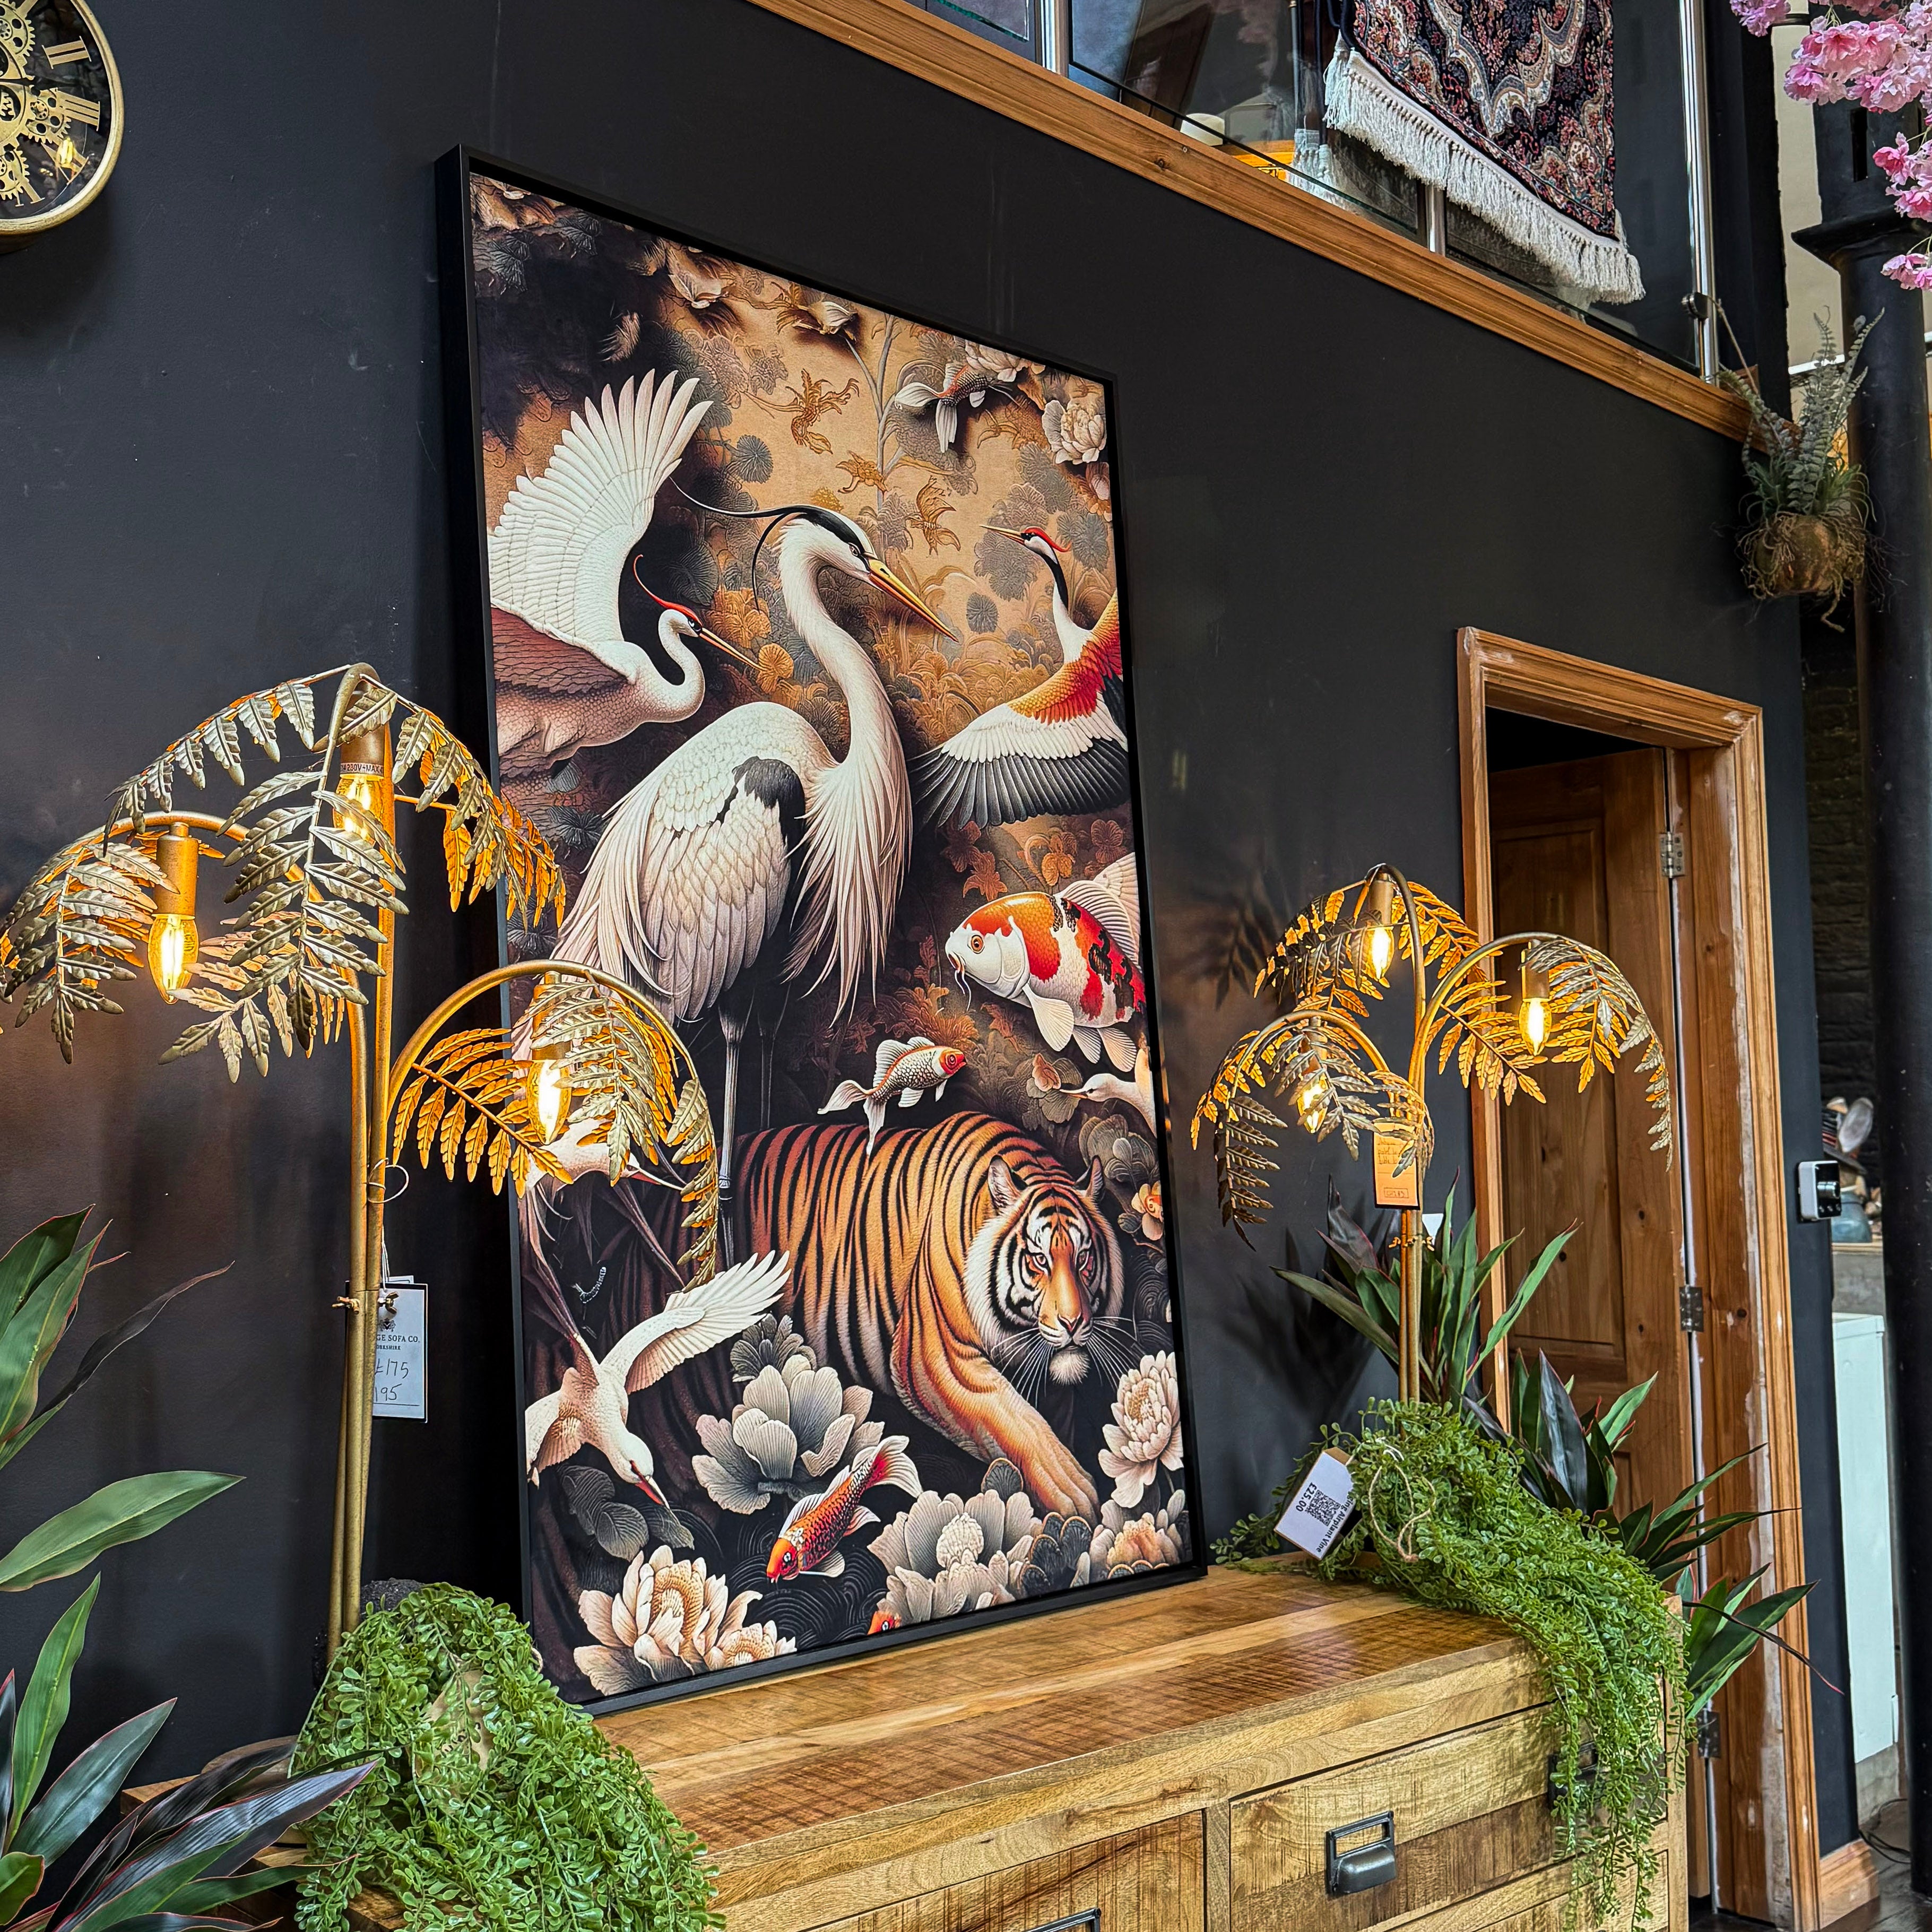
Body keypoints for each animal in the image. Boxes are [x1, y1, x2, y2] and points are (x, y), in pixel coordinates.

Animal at [732, 1110, 1126, 1519]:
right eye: (1039, 1260)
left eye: (1083, 1258)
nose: (1073, 1323)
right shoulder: (935, 1360)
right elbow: (1016, 1421)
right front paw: (1076, 1495)